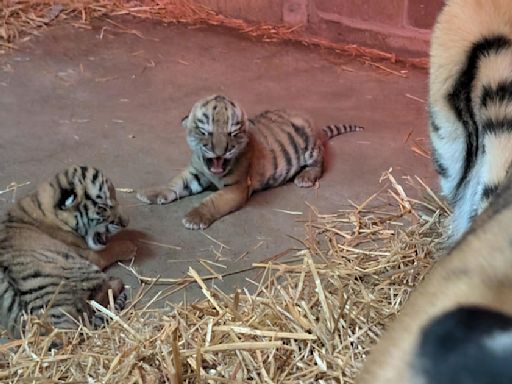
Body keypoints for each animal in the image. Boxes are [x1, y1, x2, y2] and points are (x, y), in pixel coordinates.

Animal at [0, 165, 136, 336]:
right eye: (103, 207)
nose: (126, 222)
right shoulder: (91, 255)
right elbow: (110, 249)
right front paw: (131, 246)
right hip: (83, 268)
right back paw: (116, 281)